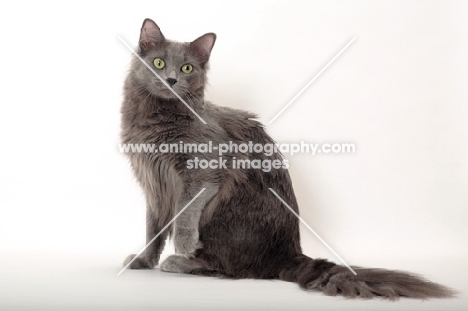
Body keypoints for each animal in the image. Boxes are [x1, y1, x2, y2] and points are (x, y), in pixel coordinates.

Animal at [120, 17, 454, 300]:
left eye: (187, 69)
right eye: (158, 63)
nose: (171, 79)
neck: (157, 120)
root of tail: (291, 253)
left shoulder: (204, 169)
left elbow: (184, 211)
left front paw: (183, 243)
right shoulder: (153, 183)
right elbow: (153, 228)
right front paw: (143, 260)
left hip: (226, 210)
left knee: (232, 268)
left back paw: (178, 261)